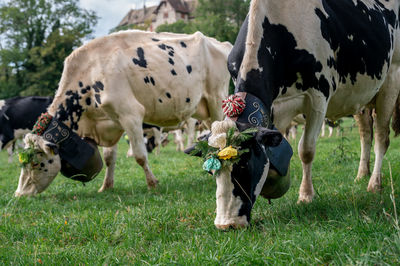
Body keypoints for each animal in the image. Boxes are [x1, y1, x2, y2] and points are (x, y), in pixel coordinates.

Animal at [14, 30, 231, 196]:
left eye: (35, 163)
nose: (19, 194)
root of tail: (221, 43)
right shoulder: (111, 121)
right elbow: (110, 158)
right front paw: (106, 186)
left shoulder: (131, 115)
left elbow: (140, 155)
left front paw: (152, 184)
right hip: (204, 109)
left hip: (217, 100)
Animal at [189, 0, 400, 229]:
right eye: (210, 171)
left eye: (245, 163)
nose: (226, 224)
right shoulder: (274, 106)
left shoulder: (318, 95)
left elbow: (306, 150)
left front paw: (306, 196)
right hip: (361, 97)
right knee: (365, 134)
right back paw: (362, 174)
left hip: (391, 80)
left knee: (381, 137)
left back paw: (374, 183)